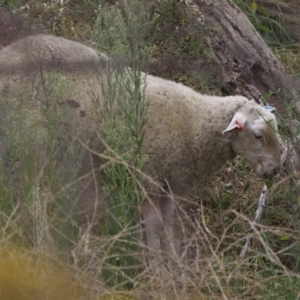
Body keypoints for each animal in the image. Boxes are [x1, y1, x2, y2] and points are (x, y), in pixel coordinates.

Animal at [0, 34, 282, 270]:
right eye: (258, 136)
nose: (275, 170)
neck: (193, 123)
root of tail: (9, 51)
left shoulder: (170, 184)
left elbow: (169, 224)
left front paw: (175, 264)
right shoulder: (147, 178)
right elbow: (154, 224)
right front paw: (157, 267)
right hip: (31, 142)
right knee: (29, 192)